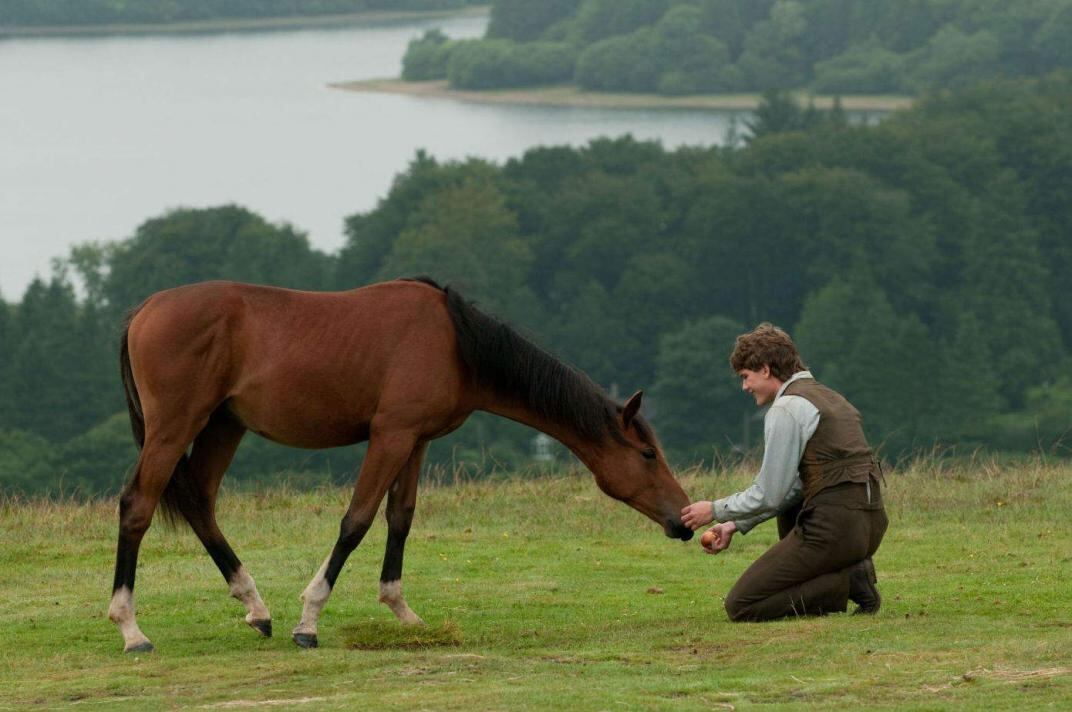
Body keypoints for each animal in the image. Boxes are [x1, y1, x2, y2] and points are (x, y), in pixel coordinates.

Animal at [110, 276, 694, 651]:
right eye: (647, 454)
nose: (684, 520)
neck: (455, 343)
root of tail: (143, 310)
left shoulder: (416, 441)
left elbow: (400, 519)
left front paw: (401, 610)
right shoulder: (390, 436)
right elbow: (356, 521)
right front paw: (310, 619)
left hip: (222, 426)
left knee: (201, 506)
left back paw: (255, 606)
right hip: (175, 426)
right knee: (137, 506)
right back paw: (131, 627)